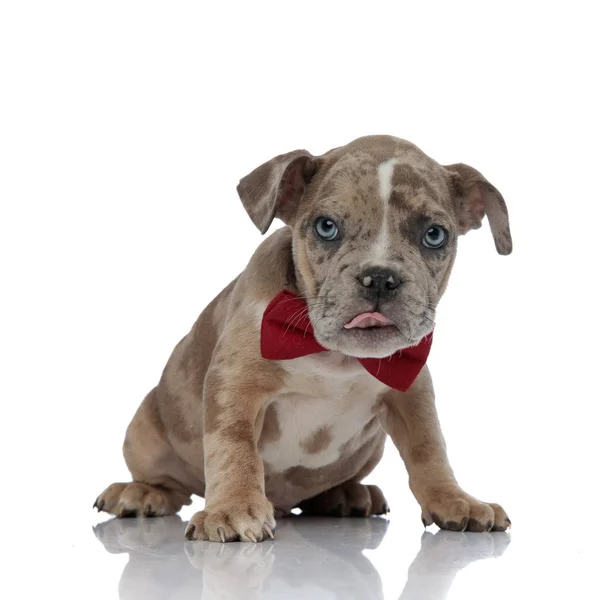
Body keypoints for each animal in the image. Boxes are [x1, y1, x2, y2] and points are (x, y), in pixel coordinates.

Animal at [94, 136, 510, 544]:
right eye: (326, 227)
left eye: (434, 235)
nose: (379, 277)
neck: (335, 355)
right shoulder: (235, 385)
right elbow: (234, 447)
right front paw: (232, 508)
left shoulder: (411, 392)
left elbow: (429, 448)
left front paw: (453, 499)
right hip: (146, 430)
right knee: (171, 485)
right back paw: (139, 493)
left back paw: (349, 495)